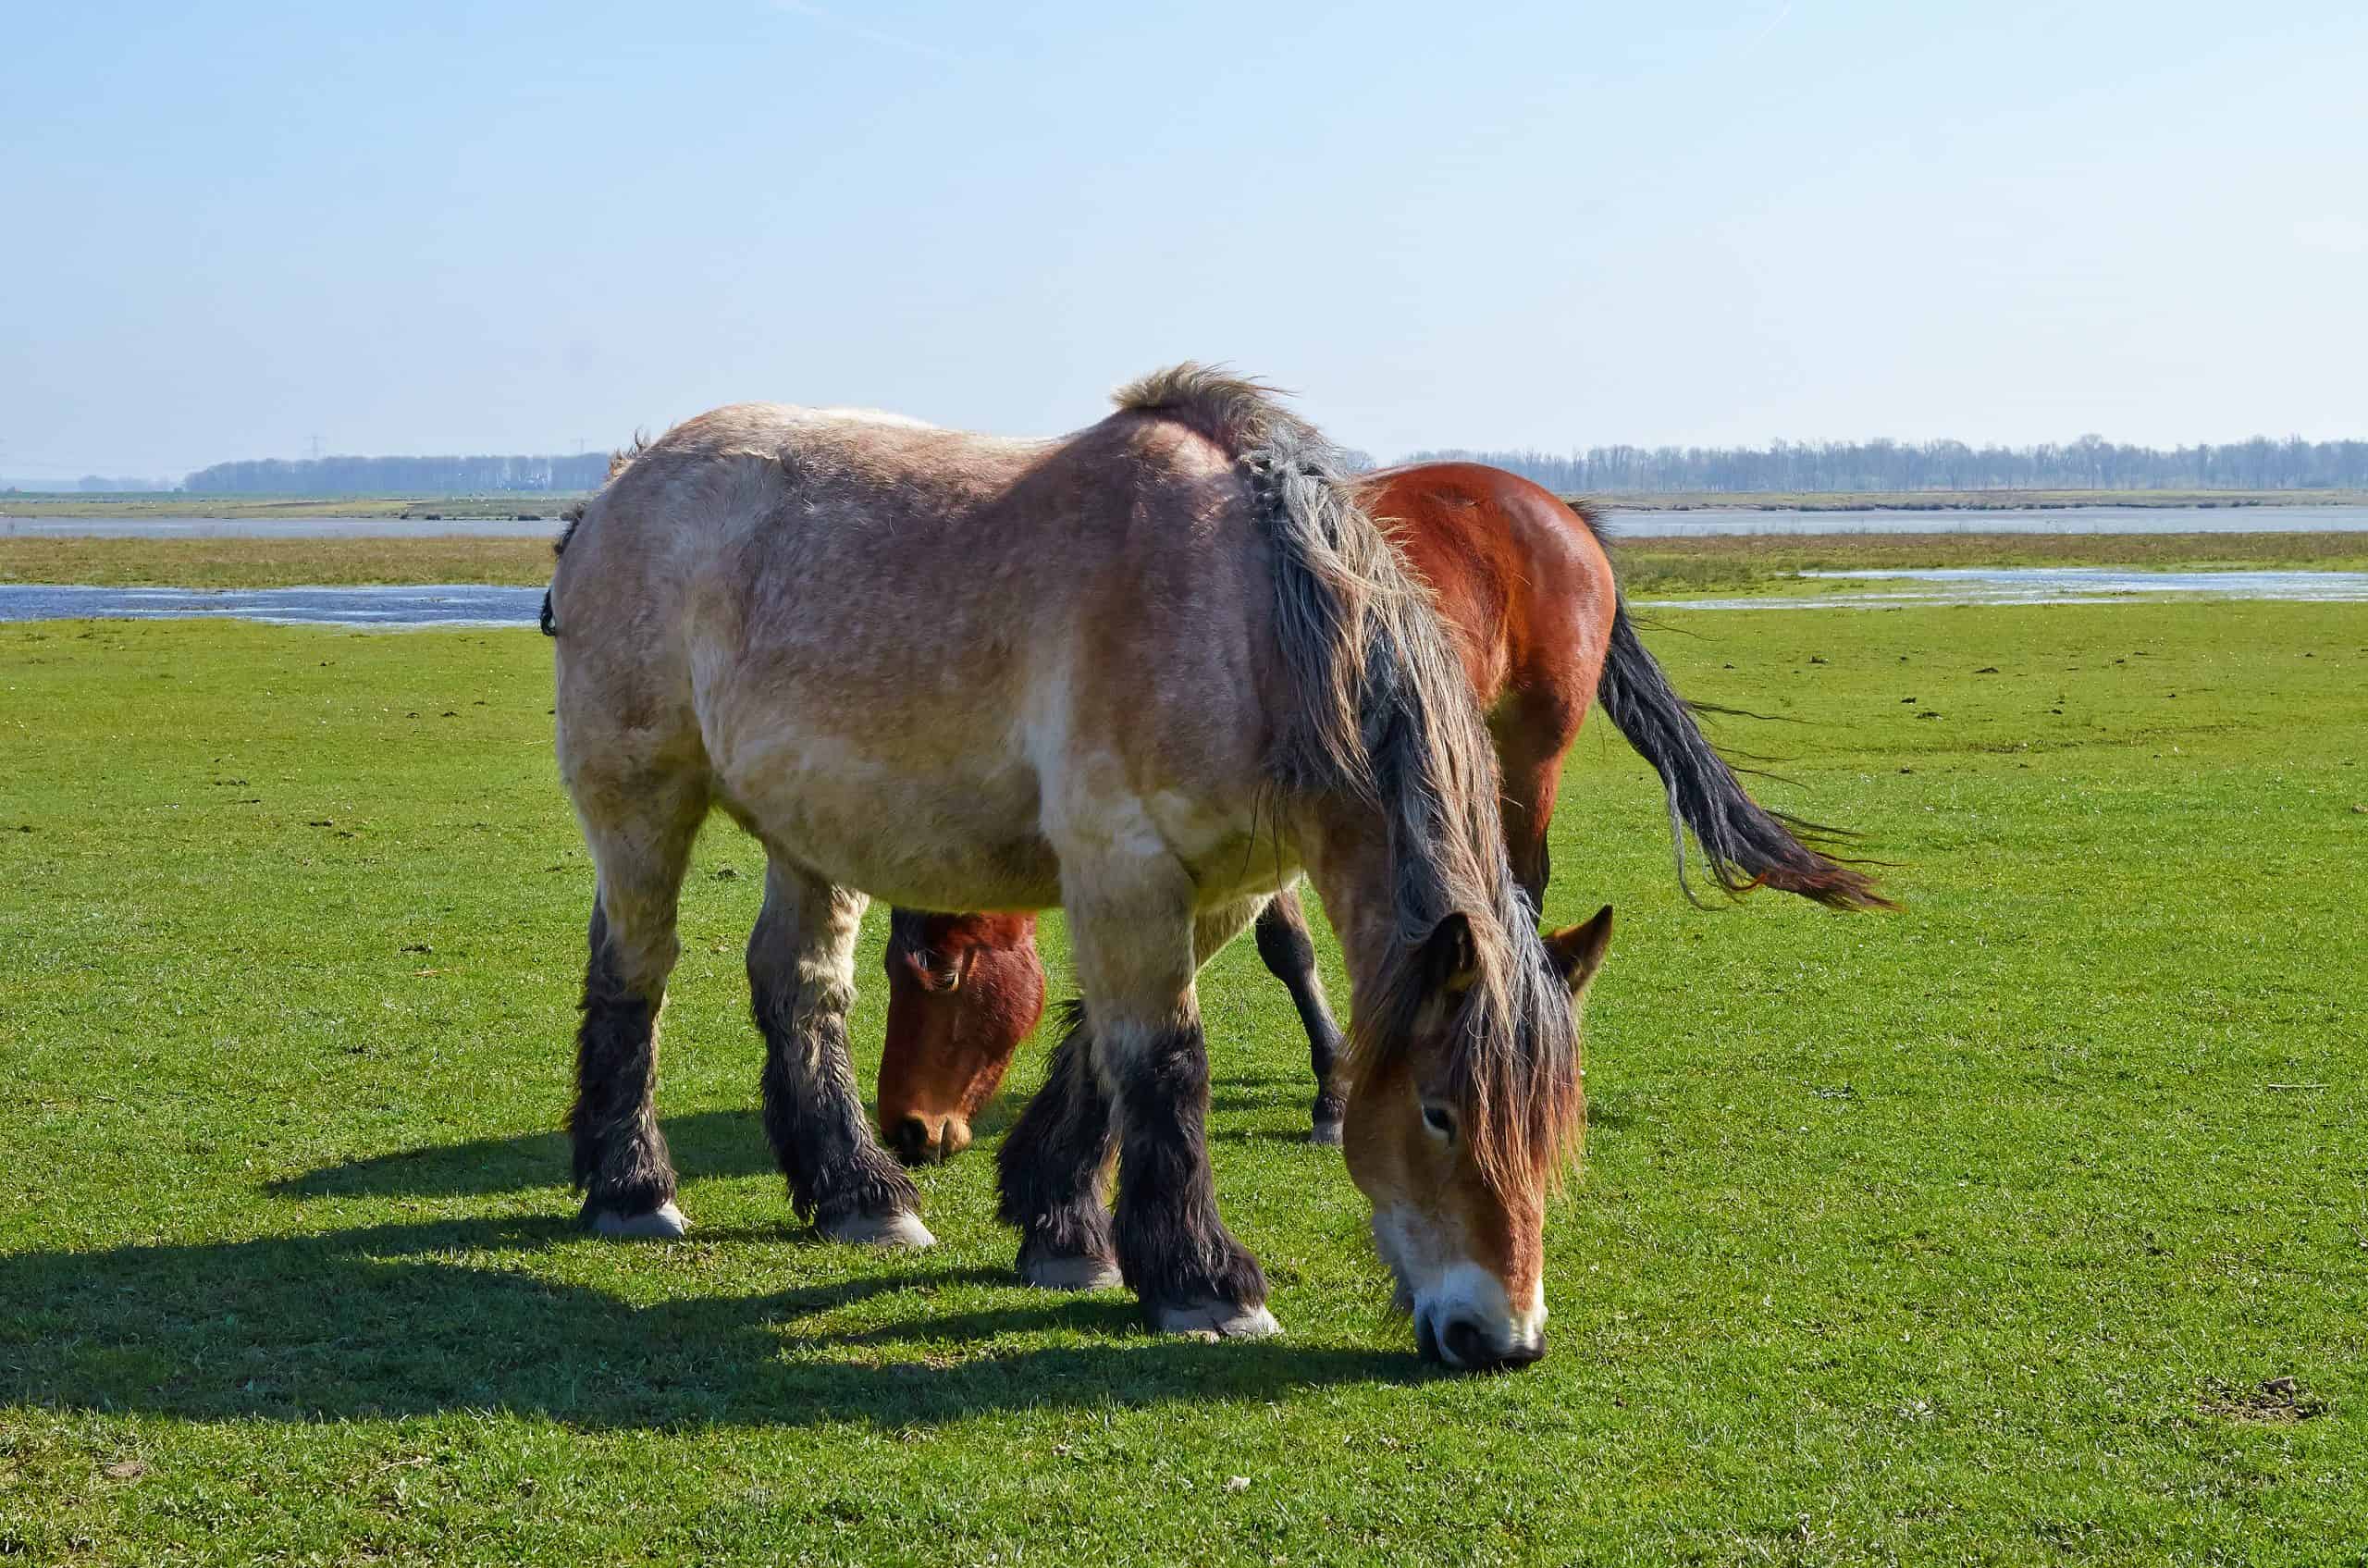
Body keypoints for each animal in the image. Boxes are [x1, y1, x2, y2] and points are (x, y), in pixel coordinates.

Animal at [881, 466, 1894, 1165]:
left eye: (941, 972)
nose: (906, 1130)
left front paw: (1333, 1096)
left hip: (1529, 749)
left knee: (1523, 887)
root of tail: (1558, 511)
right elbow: (1278, 943)